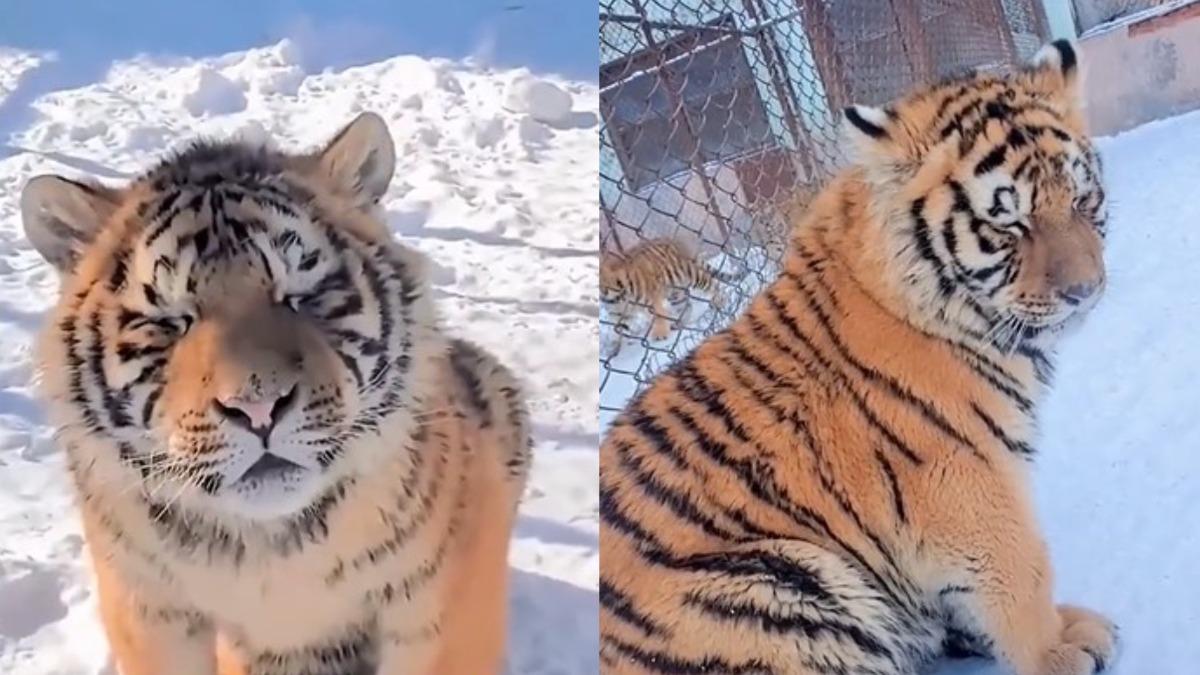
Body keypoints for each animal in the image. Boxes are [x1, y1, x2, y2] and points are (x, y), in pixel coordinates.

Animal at [20, 112, 532, 675]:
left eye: (302, 296)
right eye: (172, 321)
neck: (271, 553)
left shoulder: (440, 603)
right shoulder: (150, 608)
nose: (259, 407)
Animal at [600, 238, 736, 343]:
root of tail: (673, 239)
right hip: (676, 292)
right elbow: (620, 326)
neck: (616, 298)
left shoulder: (651, 299)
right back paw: (679, 323)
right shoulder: (618, 314)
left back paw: (719, 301)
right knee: (686, 305)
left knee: (712, 284)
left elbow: (658, 315)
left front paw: (659, 334)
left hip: (694, 275)